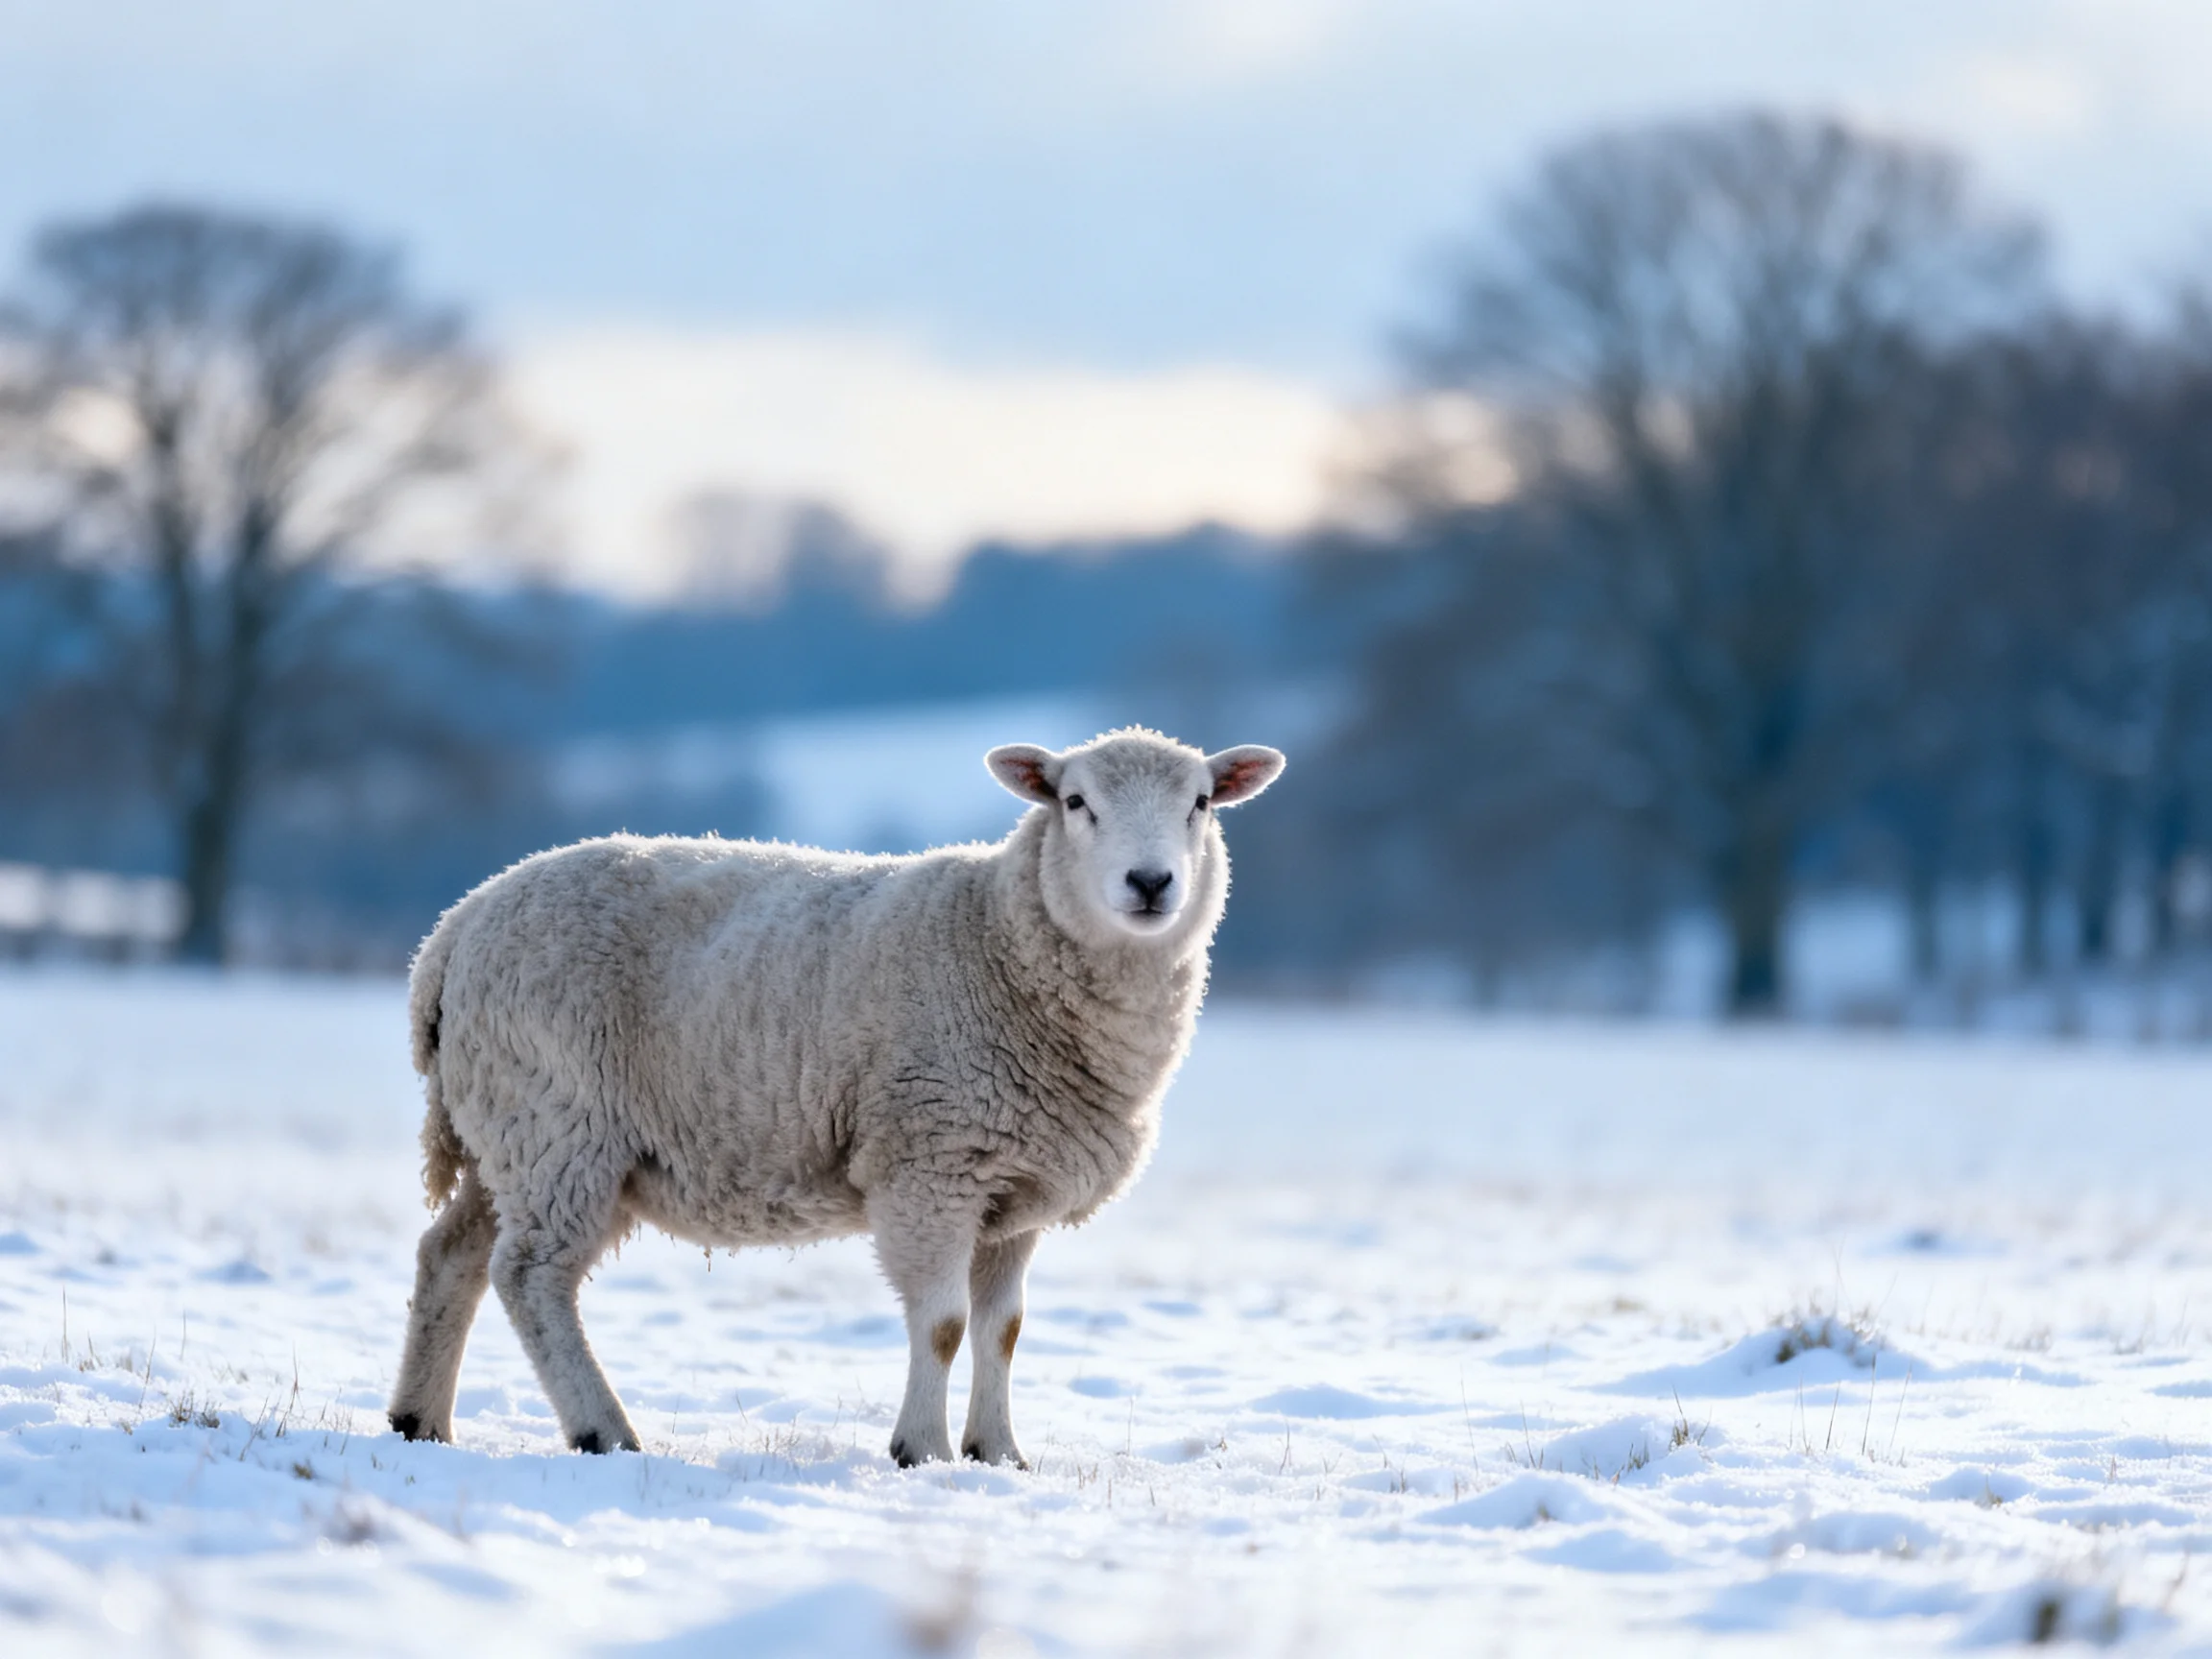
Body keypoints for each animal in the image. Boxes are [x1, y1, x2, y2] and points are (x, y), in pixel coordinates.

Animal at [387, 726, 1285, 1465]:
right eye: (1075, 802)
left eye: (1201, 804)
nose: (1150, 881)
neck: (997, 938)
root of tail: (452, 932)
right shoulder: (930, 1165)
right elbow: (944, 1325)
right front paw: (922, 1450)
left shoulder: (1013, 1189)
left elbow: (1002, 1332)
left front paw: (999, 1453)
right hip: (559, 1120)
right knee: (531, 1275)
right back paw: (601, 1428)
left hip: (507, 1127)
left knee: (450, 1255)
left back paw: (419, 1421)